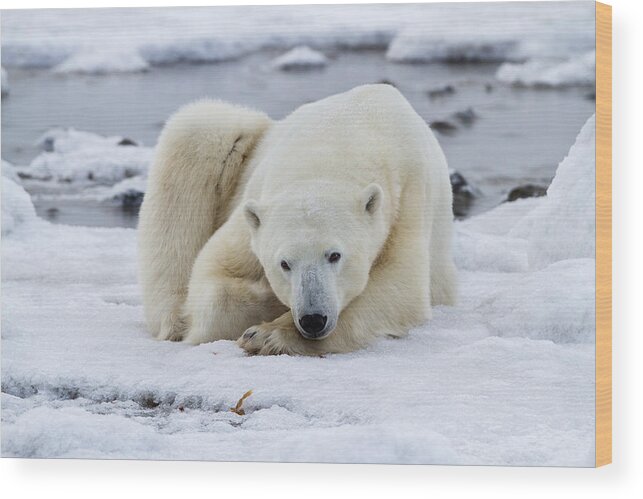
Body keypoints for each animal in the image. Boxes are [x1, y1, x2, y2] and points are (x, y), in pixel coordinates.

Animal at [138, 85, 456, 356]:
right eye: (284, 263)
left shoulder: (407, 198)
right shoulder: (254, 204)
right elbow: (212, 273)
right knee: (197, 130)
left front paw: (267, 335)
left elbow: (401, 288)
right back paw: (174, 321)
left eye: (335, 255)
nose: (313, 318)